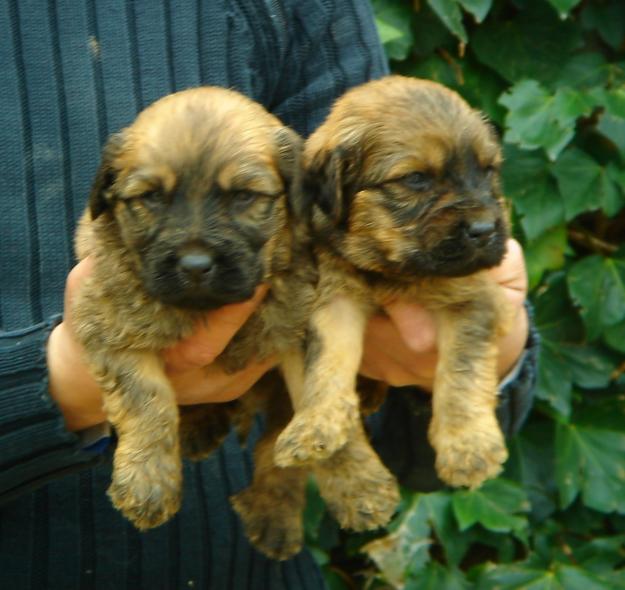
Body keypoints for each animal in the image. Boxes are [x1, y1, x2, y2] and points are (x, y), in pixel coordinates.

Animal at [73, 85, 316, 536]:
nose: (195, 266)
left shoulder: (297, 324)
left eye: (243, 197)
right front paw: (148, 483)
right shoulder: (107, 323)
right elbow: (146, 401)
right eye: (152, 197)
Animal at [278, 77, 512, 494]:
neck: (392, 269)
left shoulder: (474, 300)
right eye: (416, 179)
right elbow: (326, 362)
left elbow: (462, 372)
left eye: (488, 171)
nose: (485, 231)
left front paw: (467, 446)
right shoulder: (334, 299)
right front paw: (314, 423)